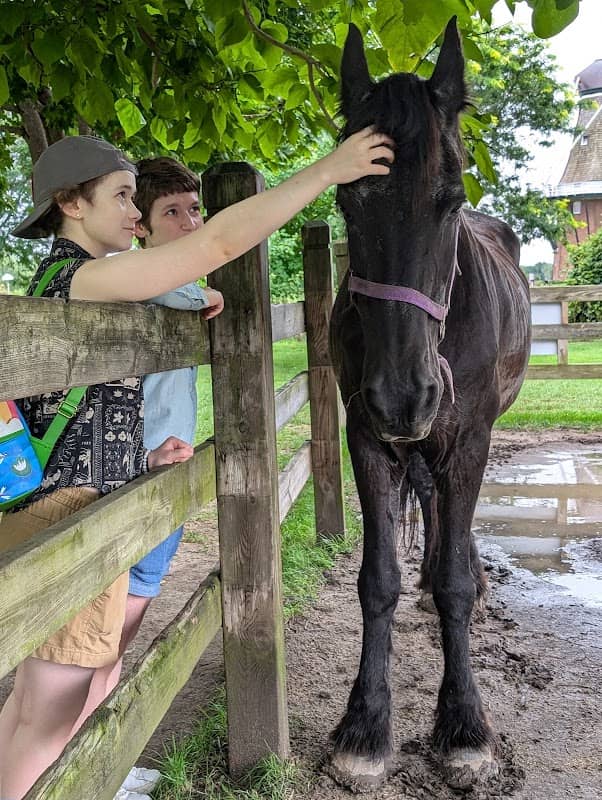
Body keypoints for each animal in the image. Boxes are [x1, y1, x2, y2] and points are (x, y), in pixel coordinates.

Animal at [328, 17, 531, 790]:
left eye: (449, 200)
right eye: (347, 201)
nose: (402, 396)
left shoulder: (468, 440)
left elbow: (453, 585)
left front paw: (465, 726)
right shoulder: (366, 439)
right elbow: (377, 581)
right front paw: (364, 727)